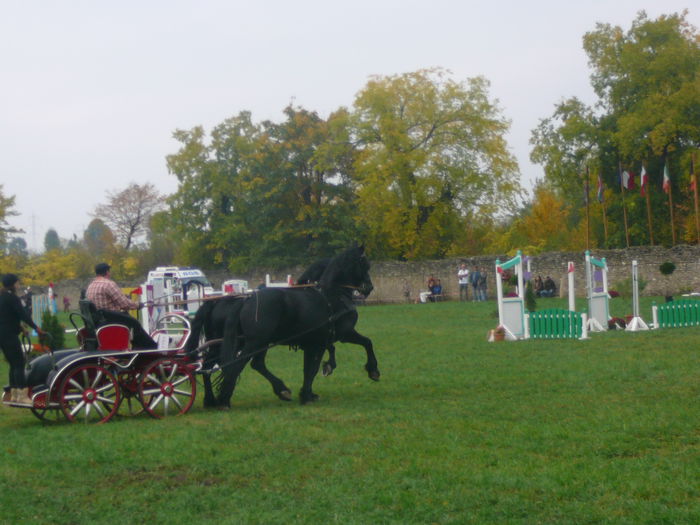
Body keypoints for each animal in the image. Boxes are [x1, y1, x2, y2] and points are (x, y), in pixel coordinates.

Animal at [215, 245, 380, 406]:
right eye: (365, 264)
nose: (369, 287)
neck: (333, 296)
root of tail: (248, 299)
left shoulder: (314, 343)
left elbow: (309, 369)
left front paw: (308, 393)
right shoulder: (342, 334)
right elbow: (366, 343)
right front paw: (373, 370)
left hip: (259, 342)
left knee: (256, 364)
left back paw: (280, 390)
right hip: (256, 342)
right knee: (239, 364)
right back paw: (225, 399)